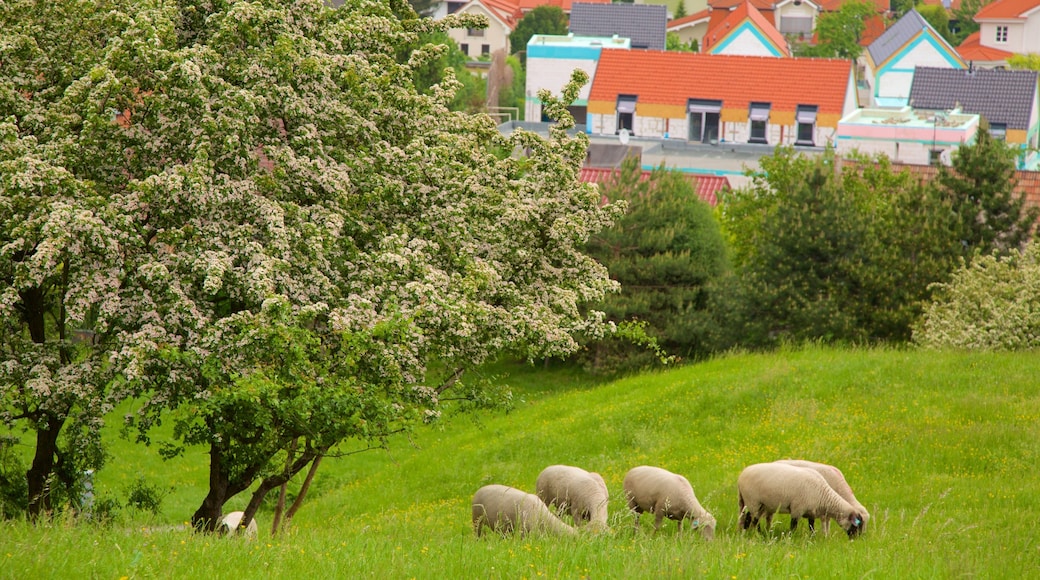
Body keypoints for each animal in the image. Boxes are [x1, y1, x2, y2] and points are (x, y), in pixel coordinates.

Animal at [740, 463, 869, 540]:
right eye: (857, 525)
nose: (856, 540)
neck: (824, 495)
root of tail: (742, 474)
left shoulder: (811, 511)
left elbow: (811, 526)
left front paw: (813, 538)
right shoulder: (797, 509)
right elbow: (793, 526)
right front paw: (791, 538)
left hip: (761, 505)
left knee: (754, 519)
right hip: (753, 501)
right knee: (750, 519)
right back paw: (752, 534)